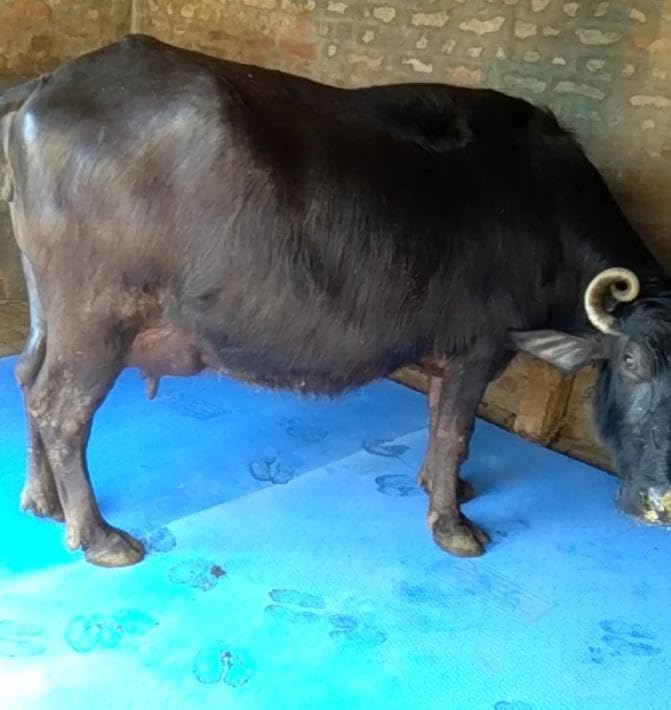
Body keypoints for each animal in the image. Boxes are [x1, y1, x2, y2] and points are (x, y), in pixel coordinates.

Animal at [1, 34, 670, 568]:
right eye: (631, 363)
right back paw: (99, 537)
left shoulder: (448, 355)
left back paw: (42, 501)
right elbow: (458, 430)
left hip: (49, 312)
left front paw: (443, 485)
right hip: (96, 323)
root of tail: (47, 86)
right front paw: (452, 525)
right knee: (62, 411)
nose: (660, 504)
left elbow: (441, 424)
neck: (542, 205)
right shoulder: (479, 351)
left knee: (29, 379)